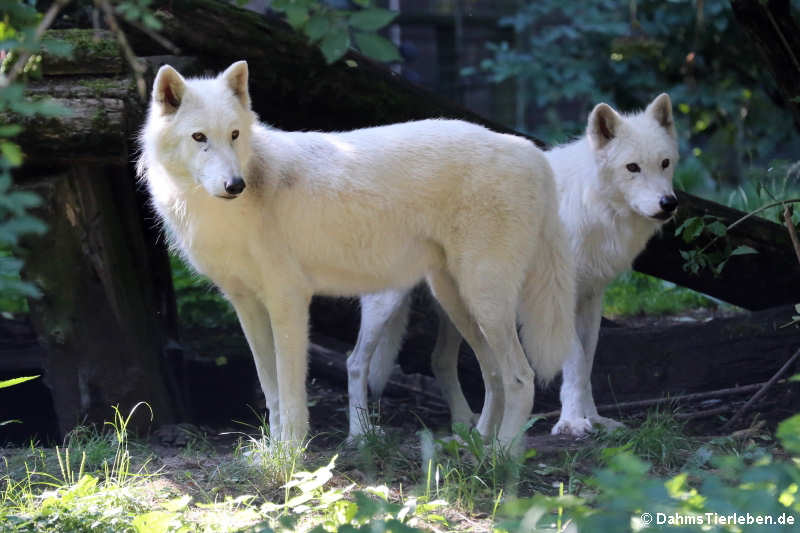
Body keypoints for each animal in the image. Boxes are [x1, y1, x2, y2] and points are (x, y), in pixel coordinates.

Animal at [134, 60, 580, 446]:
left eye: (234, 135)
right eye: (199, 138)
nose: (235, 184)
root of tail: (531, 151)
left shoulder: (289, 300)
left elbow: (291, 393)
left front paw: (291, 454)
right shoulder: (246, 304)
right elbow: (269, 388)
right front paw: (270, 453)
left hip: (484, 300)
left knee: (520, 377)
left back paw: (500, 457)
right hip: (457, 301)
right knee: (494, 375)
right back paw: (475, 444)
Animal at [354, 93, 680, 438]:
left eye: (665, 163)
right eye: (632, 168)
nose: (668, 203)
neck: (590, 207)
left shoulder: (591, 298)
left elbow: (587, 363)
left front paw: (594, 418)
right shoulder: (556, 301)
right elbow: (575, 361)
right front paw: (573, 422)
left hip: (462, 306)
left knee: (440, 360)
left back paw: (465, 422)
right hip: (389, 304)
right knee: (357, 363)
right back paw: (361, 434)